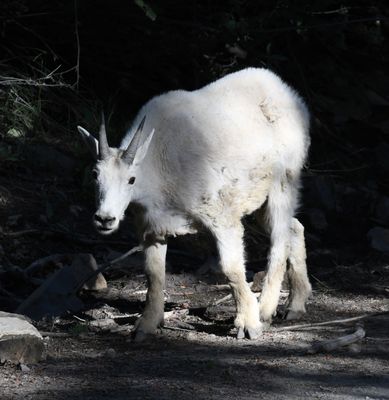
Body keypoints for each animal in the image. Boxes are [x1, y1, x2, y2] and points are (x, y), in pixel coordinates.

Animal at [77, 68, 310, 340]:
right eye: (95, 175)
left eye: (131, 179)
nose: (105, 219)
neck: (157, 166)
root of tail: (291, 95)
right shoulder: (152, 228)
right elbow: (153, 275)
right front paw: (145, 326)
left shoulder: (222, 216)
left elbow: (231, 268)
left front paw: (248, 325)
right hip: (260, 198)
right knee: (294, 226)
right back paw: (295, 305)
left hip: (284, 182)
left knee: (279, 240)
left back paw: (266, 310)